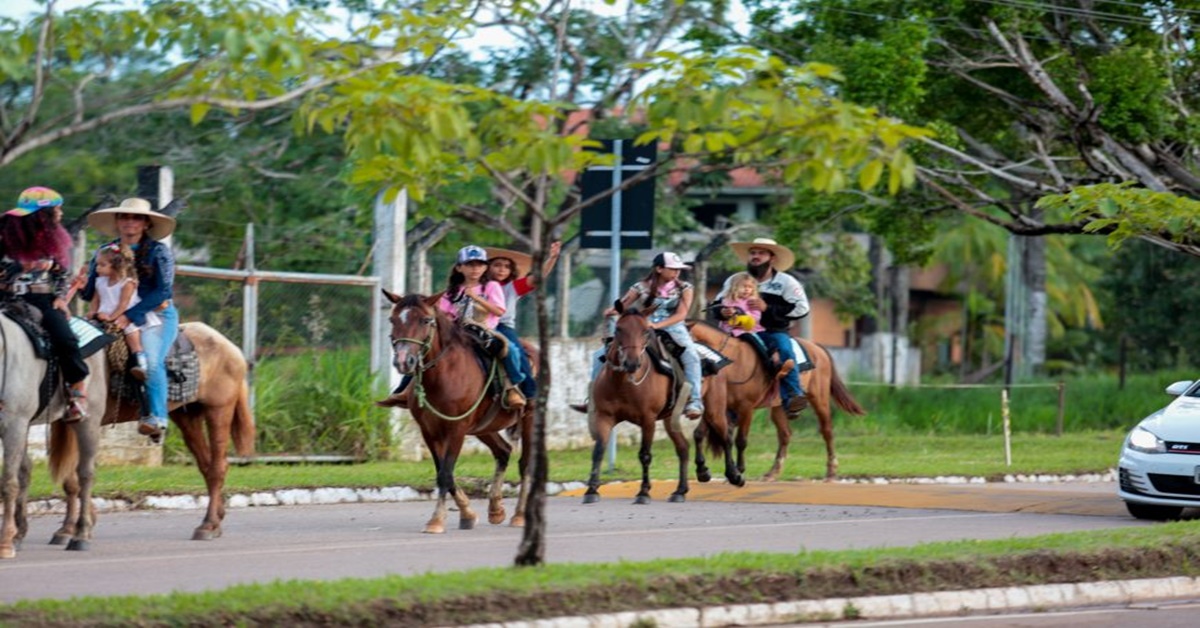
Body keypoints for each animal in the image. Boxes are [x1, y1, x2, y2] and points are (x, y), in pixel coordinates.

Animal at [45, 324, 255, 545]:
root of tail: (231, 347)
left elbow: (75, 477)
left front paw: (78, 526)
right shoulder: (64, 422)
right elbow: (70, 480)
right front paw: (70, 528)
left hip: (219, 410)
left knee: (217, 468)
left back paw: (207, 525)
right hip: (187, 415)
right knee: (206, 465)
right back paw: (217, 520)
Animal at [384, 291, 535, 535]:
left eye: (425, 320)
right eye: (393, 320)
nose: (403, 361)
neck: (444, 375)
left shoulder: (457, 429)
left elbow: (446, 473)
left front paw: (436, 521)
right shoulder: (429, 431)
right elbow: (443, 472)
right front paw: (468, 514)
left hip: (530, 418)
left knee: (525, 464)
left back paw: (519, 515)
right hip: (484, 427)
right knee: (503, 452)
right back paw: (496, 509)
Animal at [580, 306, 739, 506]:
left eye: (646, 331)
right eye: (618, 329)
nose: (632, 363)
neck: (622, 383)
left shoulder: (647, 420)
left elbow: (645, 455)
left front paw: (643, 492)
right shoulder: (604, 417)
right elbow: (599, 450)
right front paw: (591, 490)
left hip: (714, 409)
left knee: (725, 437)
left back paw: (734, 476)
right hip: (671, 419)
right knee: (683, 448)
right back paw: (680, 490)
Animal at [686, 321, 864, 485]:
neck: (733, 362)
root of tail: (817, 347)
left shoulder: (746, 407)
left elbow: (740, 440)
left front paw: (739, 471)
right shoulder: (713, 406)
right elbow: (700, 435)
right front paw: (703, 471)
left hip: (819, 398)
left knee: (827, 431)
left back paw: (831, 472)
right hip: (778, 406)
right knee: (785, 435)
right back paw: (772, 473)